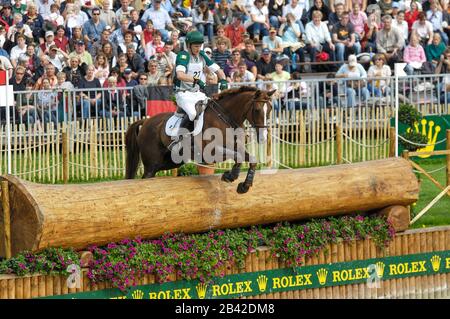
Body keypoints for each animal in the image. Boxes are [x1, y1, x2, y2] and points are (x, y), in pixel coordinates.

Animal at [125, 86, 276, 194]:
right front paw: (230, 176)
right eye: (257, 110)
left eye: (270, 109)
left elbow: (251, 159)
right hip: (152, 163)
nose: (263, 137)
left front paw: (244, 185)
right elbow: (238, 157)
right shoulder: (212, 152)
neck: (225, 117)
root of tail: (146, 121)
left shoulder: (236, 147)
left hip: (169, 162)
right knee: (146, 177)